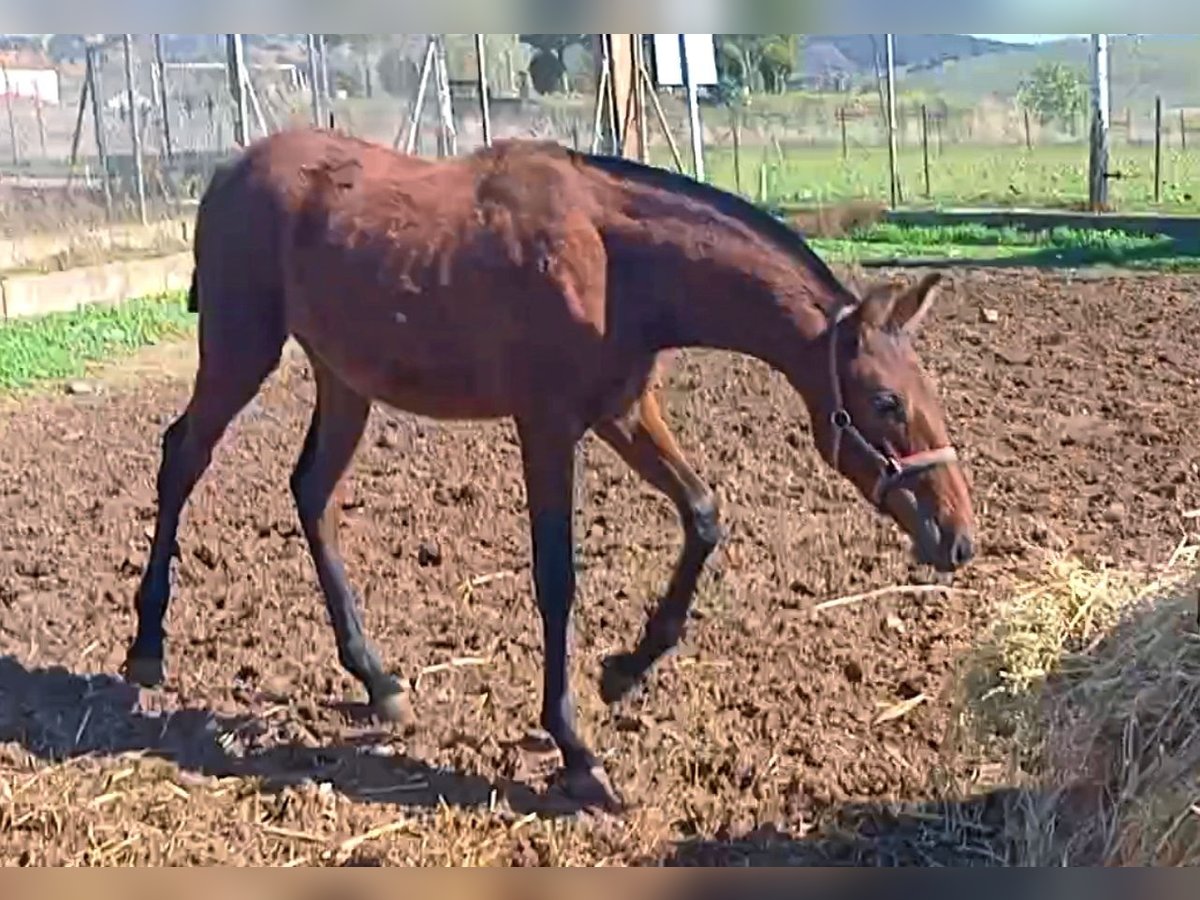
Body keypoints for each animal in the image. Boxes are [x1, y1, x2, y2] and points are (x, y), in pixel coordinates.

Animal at [124, 130, 974, 816]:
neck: (617, 263)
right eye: (886, 402)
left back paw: (377, 678)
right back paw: (147, 646)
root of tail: (229, 170)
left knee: (312, 494)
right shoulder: (548, 425)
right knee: (181, 459)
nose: (957, 537)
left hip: (344, 380)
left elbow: (703, 515)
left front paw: (624, 671)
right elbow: (556, 577)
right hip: (240, 348)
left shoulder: (624, 410)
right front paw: (577, 752)